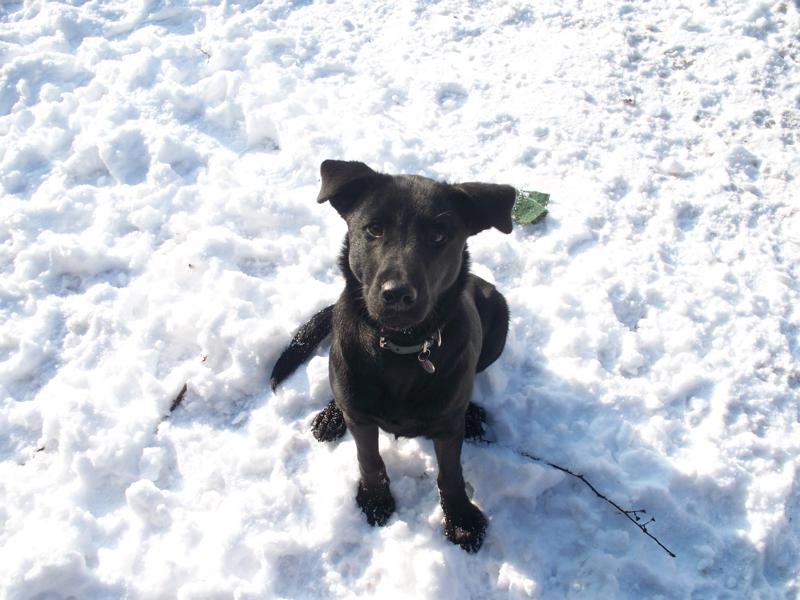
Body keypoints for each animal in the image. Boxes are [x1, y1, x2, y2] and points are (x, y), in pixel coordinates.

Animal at [272, 161, 516, 552]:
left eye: (439, 236)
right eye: (374, 228)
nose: (397, 294)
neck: (402, 347)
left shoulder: (447, 429)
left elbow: (451, 473)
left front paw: (460, 517)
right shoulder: (361, 419)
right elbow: (368, 458)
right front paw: (375, 498)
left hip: (499, 312)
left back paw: (473, 415)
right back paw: (331, 415)